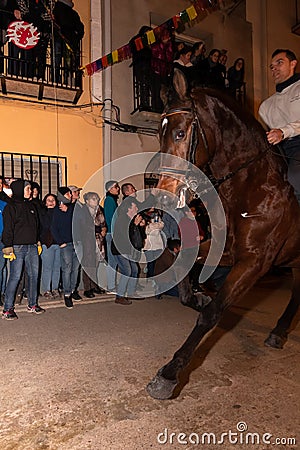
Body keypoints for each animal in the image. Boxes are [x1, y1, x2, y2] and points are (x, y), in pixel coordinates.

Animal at [146, 68, 300, 400]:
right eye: (158, 134)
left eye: (180, 133)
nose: (163, 195)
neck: (251, 185)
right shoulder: (225, 250)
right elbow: (184, 272)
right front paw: (199, 295)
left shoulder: (254, 262)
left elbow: (211, 313)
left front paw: (168, 374)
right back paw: (279, 331)